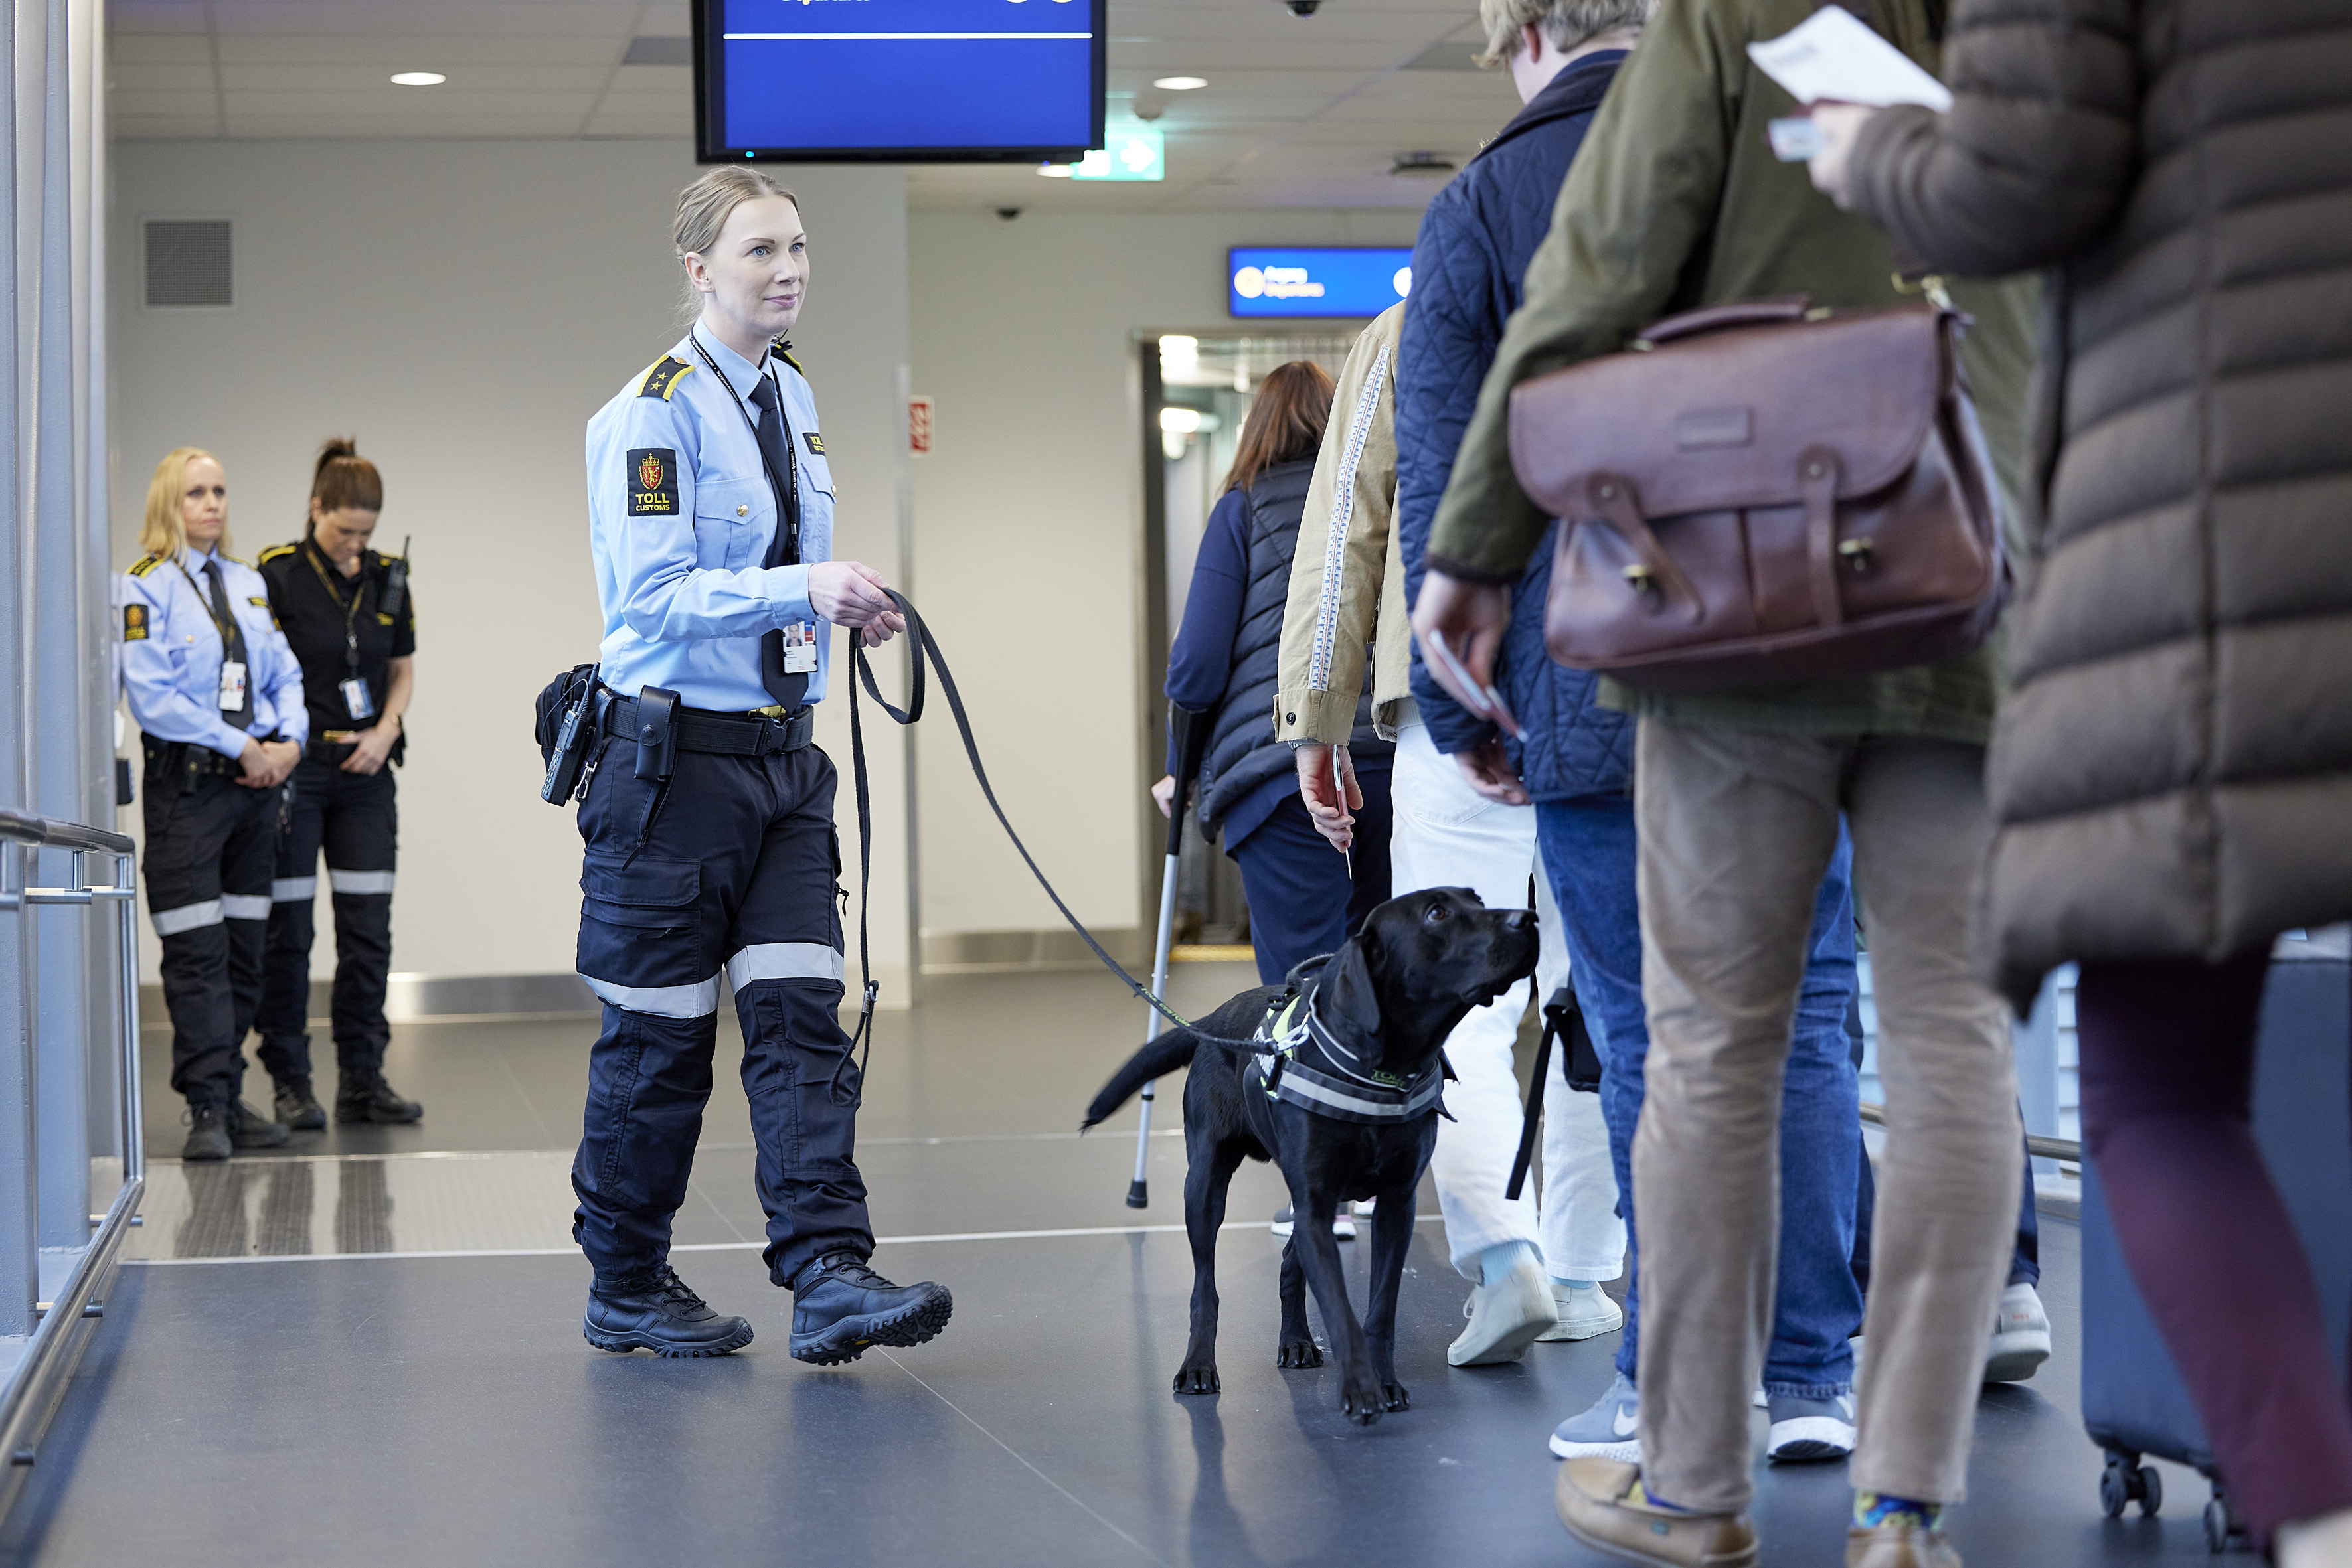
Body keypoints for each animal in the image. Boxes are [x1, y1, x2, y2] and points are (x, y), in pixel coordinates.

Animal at [1077, 888, 1533, 1429]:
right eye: (1436, 913)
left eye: (1477, 899)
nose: (1529, 918)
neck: (1380, 1067)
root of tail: (1212, 1021)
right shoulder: (1315, 1202)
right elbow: (1338, 1308)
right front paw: (1360, 1388)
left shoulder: (1393, 1206)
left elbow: (1379, 1310)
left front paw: (1383, 1381)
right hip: (1204, 1186)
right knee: (1205, 1286)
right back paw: (1199, 1365)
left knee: (1290, 1264)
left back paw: (1295, 1340)